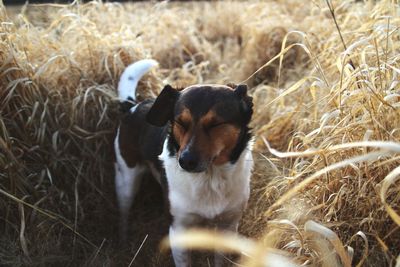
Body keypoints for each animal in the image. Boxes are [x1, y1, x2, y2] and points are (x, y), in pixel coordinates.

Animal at [114, 59, 255, 266]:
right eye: (180, 122)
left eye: (216, 124)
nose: (185, 161)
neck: (210, 178)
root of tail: (133, 105)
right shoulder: (179, 228)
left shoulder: (228, 226)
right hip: (126, 179)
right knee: (123, 212)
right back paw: (123, 242)